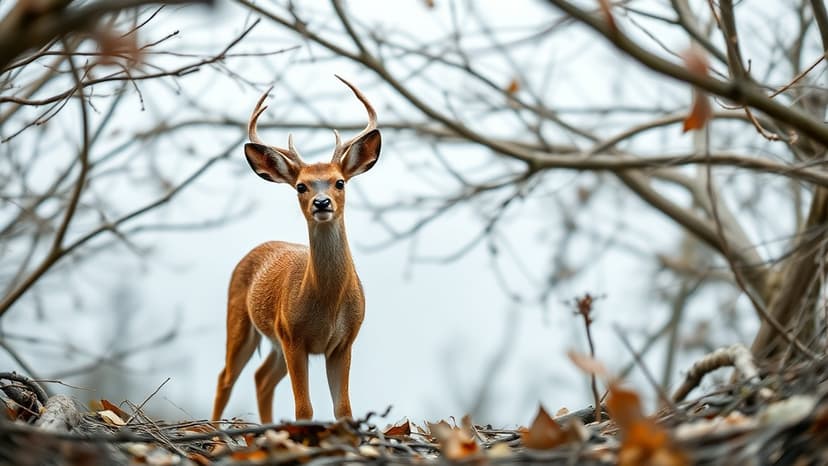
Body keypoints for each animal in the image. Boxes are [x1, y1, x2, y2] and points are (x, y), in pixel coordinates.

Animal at [211, 76, 381, 423]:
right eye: (301, 186)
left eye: (340, 182)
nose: (322, 203)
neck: (327, 303)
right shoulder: (293, 337)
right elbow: (304, 409)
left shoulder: (343, 342)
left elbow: (343, 409)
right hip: (241, 318)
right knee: (226, 377)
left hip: (275, 340)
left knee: (261, 377)